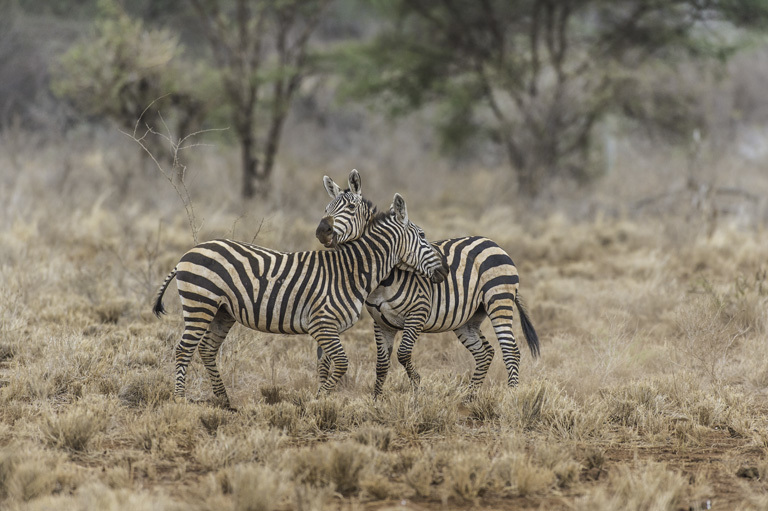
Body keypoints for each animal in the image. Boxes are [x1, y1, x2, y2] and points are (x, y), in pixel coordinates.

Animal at [152, 192, 448, 408]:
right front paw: (318, 402)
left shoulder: (330, 328)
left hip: (222, 312)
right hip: (200, 304)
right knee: (184, 350)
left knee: (207, 349)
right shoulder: (321, 323)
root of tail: (188, 253)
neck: (350, 271)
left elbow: (325, 365)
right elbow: (341, 363)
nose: (445, 270)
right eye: (423, 236)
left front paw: (322, 400)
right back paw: (180, 401)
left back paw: (225, 400)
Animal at [316, 170, 540, 398]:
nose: (322, 231)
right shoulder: (380, 323)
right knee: (485, 353)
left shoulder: (417, 313)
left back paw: (511, 396)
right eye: (326, 209)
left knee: (510, 351)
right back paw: (469, 397)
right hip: (468, 318)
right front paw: (377, 400)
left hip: (498, 301)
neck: (383, 280)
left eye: (351, 208)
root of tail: (491, 242)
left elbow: (403, 354)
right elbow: (381, 364)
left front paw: (417, 392)